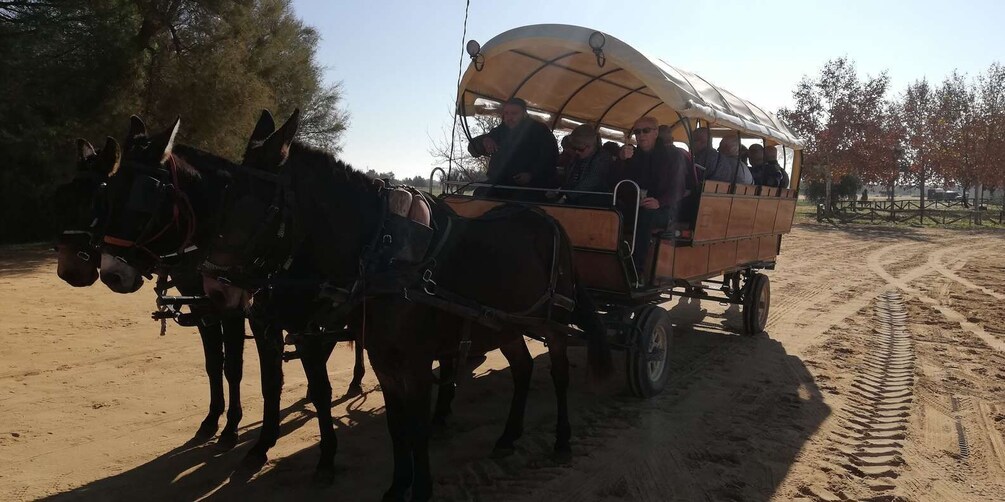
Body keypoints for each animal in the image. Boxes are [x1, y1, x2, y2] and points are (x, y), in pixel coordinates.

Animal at [202, 110, 611, 501]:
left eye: (254, 203)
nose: (214, 289)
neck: (383, 253)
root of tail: (548, 221)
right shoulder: (383, 360)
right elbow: (396, 428)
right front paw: (398, 486)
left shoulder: (415, 364)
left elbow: (417, 429)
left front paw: (422, 488)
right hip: (504, 324)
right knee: (523, 369)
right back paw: (508, 436)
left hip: (553, 324)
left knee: (559, 374)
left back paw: (562, 439)